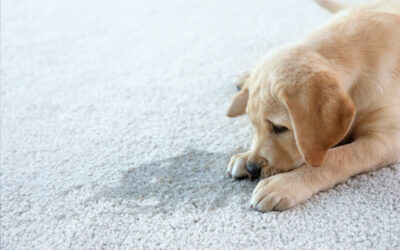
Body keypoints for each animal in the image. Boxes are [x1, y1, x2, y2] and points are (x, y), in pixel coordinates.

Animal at [225, 0, 400, 211]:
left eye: (279, 128)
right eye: (254, 126)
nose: (253, 168)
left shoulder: (386, 138)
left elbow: (338, 156)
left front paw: (284, 184)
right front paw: (244, 156)